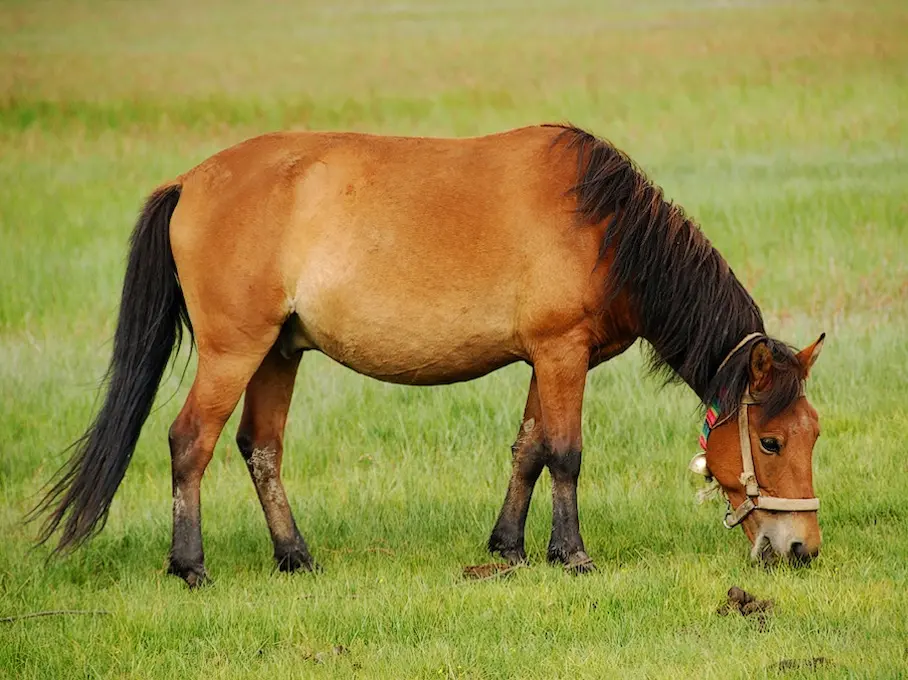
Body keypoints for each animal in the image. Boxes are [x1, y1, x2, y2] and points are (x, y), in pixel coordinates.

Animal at [35, 125, 828, 588]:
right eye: (770, 441)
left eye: (812, 435)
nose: (802, 549)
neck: (605, 228)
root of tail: (190, 182)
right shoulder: (561, 354)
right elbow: (566, 454)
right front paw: (571, 554)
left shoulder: (544, 360)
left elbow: (528, 451)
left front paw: (509, 547)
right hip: (235, 352)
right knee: (189, 442)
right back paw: (190, 566)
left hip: (278, 354)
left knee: (260, 448)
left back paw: (296, 557)